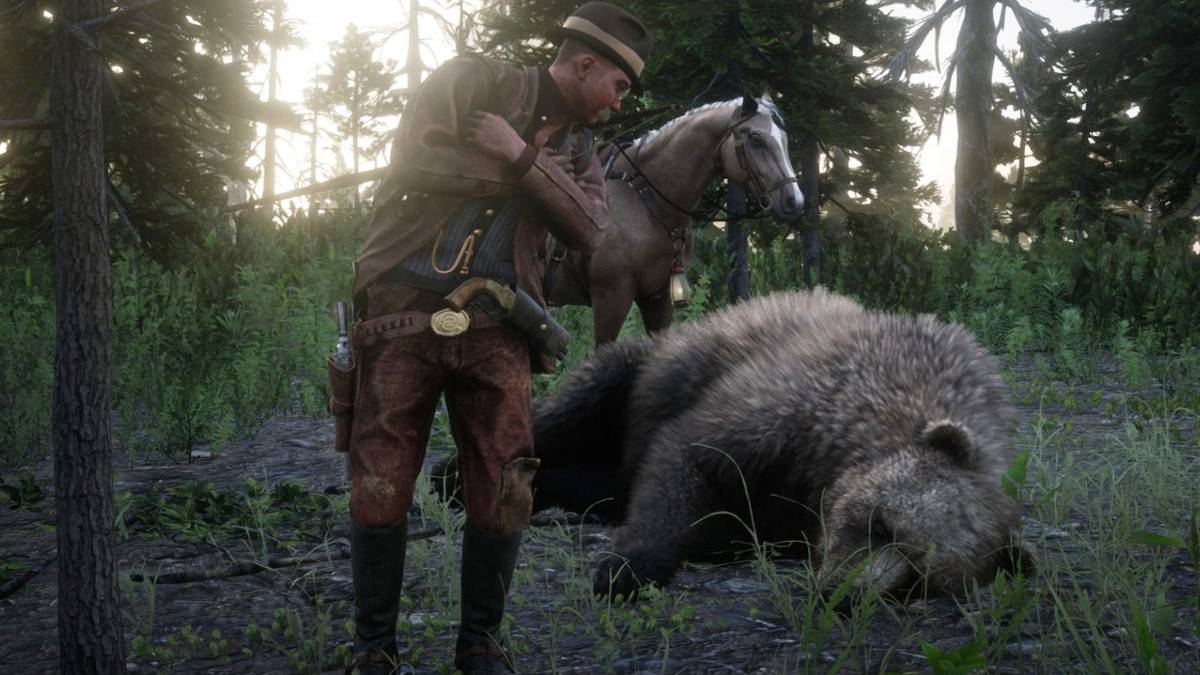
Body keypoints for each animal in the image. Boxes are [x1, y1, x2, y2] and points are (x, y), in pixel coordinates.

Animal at [435, 288, 1034, 600]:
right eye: (882, 524)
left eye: (916, 580)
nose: (840, 594)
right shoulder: (789, 404)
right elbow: (689, 460)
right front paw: (628, 566)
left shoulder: (798, 500)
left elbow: (734, 522)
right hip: (644, 370)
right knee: (573, 406)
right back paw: (458, 476)